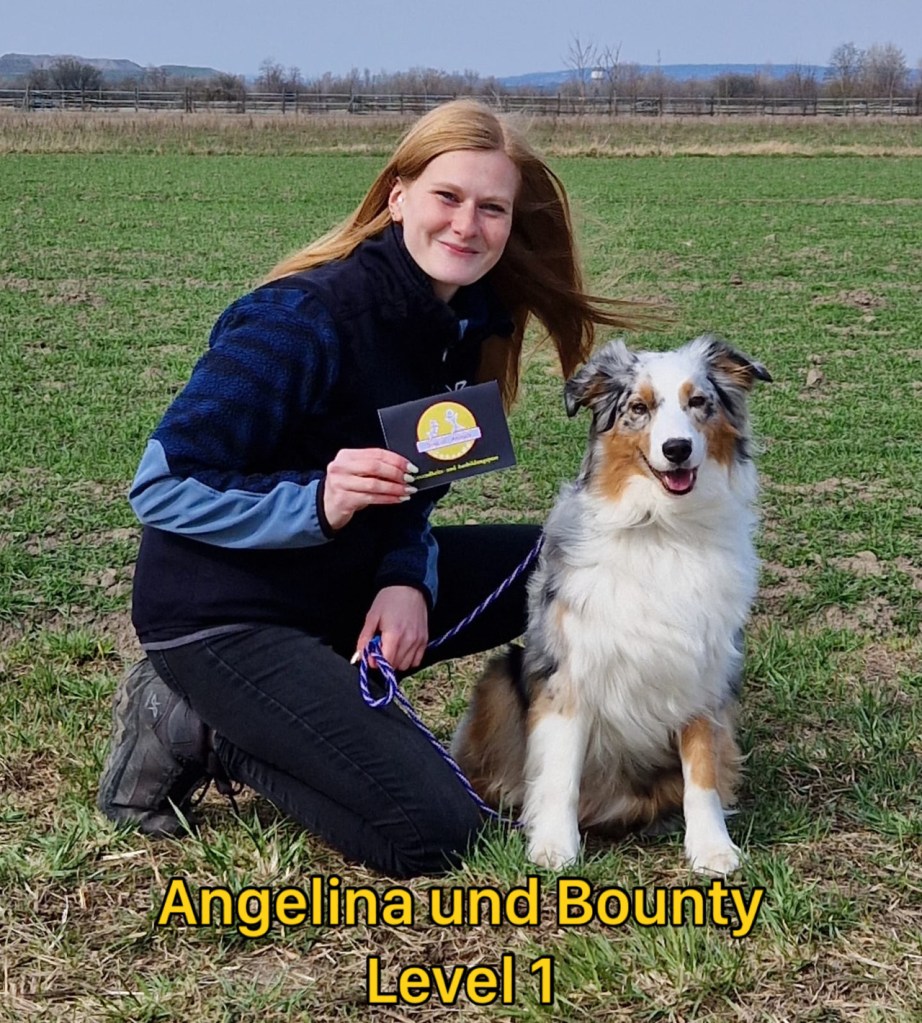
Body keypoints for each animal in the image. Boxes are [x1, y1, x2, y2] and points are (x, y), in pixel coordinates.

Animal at [452, 336, 771, 874]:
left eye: (698, 402)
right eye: (639, 408)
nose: (677, 449)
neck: (662, 529)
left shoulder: (704, 671)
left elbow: (703, 770)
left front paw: (711, 848)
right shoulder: (569, 670)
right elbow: (560, 771)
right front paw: (554, 846)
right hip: (500, 677)